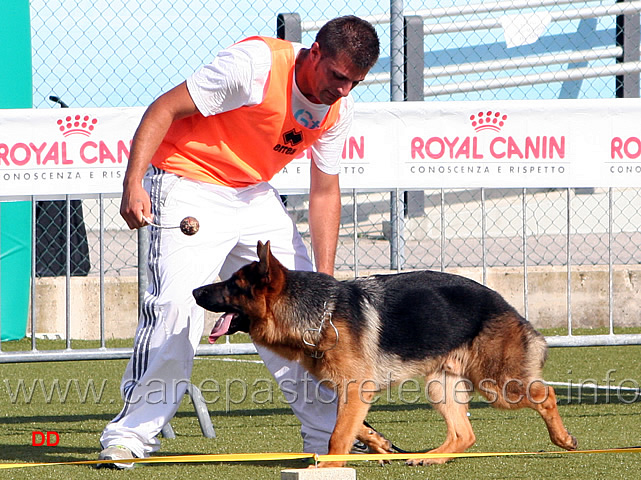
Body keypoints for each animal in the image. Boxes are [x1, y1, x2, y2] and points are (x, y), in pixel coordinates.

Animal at [192, 242, 576, 466]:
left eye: (233, 284)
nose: (195, 290)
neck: (319, 314)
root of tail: (506, 305)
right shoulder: (350, 393)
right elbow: (349, 426)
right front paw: (376, 443)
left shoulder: (356, 389)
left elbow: (337, 435)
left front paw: (331, 466)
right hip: (440, 386)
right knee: (464, 434)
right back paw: (431, 458)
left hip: (497, 386)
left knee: (545, 394)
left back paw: (563, 438)